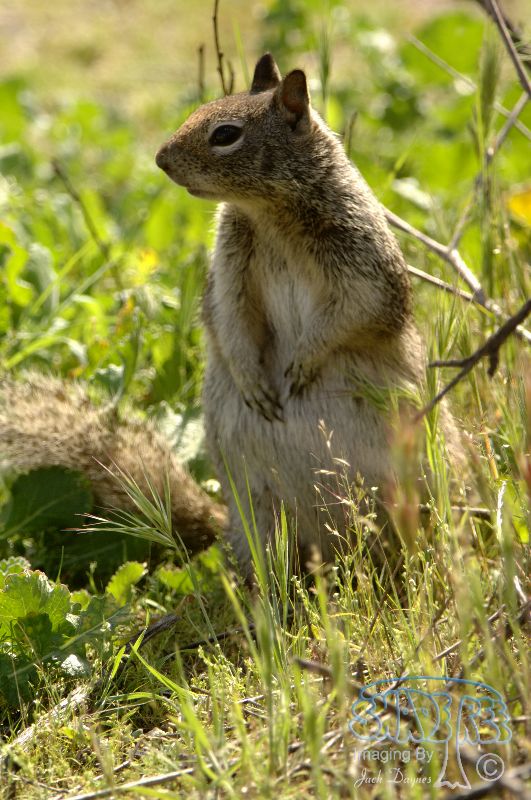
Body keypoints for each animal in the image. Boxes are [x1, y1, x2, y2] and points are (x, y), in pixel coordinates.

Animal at [1, 55, 460, 579]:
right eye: (200, 107)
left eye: (225, 134)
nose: (161, 160)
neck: (267, 213)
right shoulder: (229, 272)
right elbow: (230, 322)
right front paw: (253, 383)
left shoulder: (364, 266)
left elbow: (354, 313)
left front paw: (303, 363)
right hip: (260, 516)